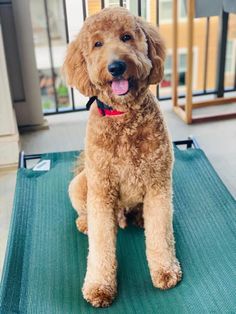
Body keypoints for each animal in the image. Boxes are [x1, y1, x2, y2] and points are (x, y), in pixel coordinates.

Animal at [63, 7, 182, 310]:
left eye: (127, 37)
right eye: (97, 44)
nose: (116, 66)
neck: (124, 115)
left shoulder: (158, 185)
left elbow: (160, 233)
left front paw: (165, 271)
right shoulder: (102, 192)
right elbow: (101, 245)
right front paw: (98, 287)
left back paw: (138, 217)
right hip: (80, 184)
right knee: (84, 211)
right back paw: (84, 223)